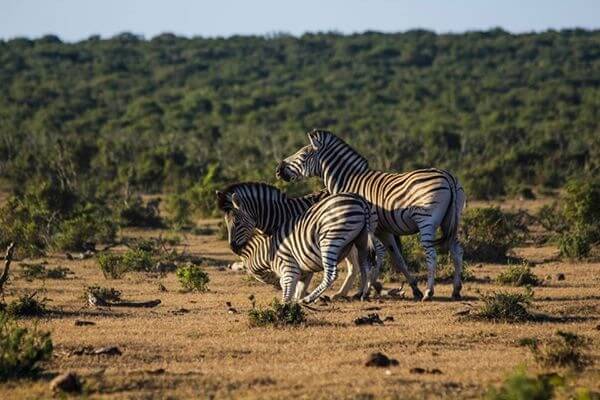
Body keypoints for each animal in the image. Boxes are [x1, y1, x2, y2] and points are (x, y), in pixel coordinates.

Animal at [217, 183, 380, 302]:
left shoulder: (299, 242)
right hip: (361, 237)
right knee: (363, 262)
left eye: (237, 223)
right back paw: (358, 292)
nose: (234, 248)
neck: (278, 215)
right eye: (226, 222)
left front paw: (300, 296)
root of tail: (360, 198)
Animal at [274, 130, 466, 302]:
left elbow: (370, 258)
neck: (349, 180)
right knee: (457, 251)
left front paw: (366, 289)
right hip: (450, 221)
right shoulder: (384, 230)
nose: (278, 170)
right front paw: (412, 287)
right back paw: (455, 290)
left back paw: (429, 292)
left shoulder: (370, 227)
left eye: (303, 154)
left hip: (427, 221)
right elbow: (397, 258)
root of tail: (447, 176)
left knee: (431, 254)